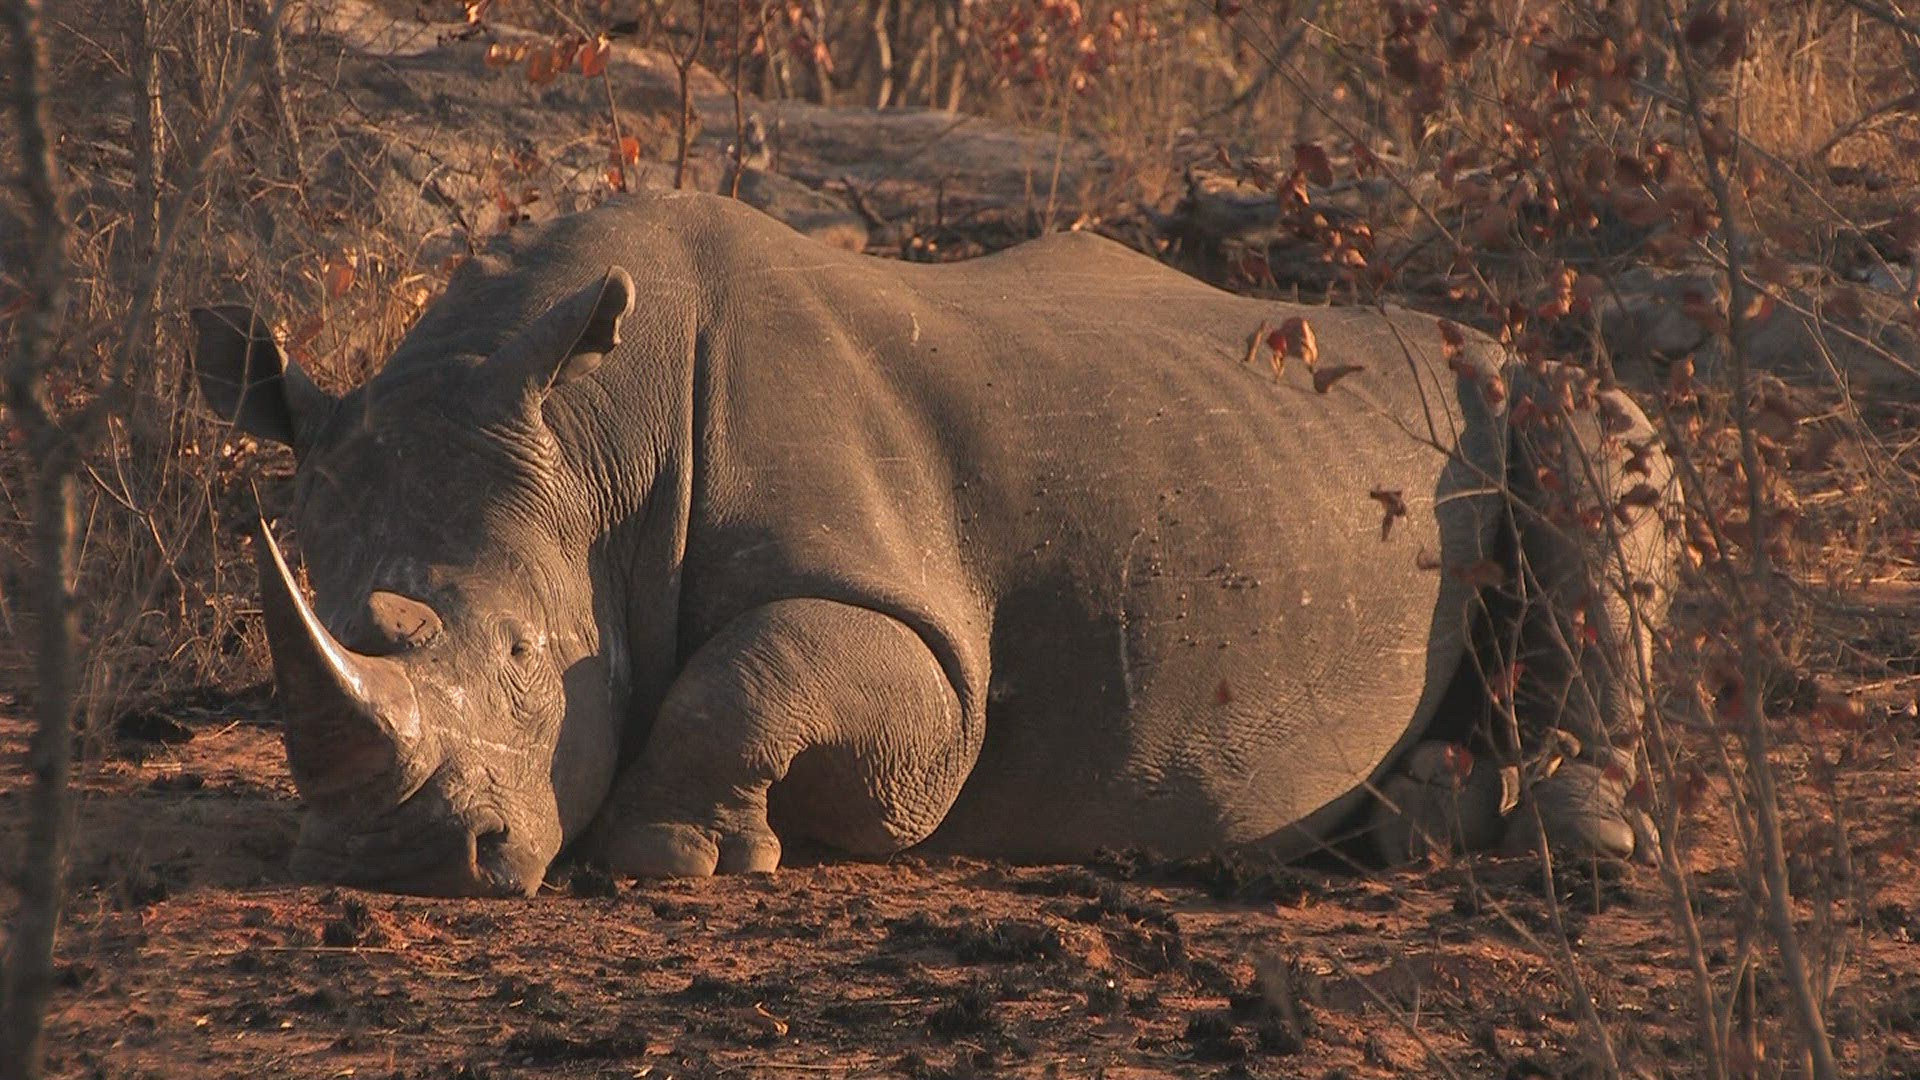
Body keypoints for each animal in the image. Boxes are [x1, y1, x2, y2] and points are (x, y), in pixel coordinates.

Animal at [191, 190, 1672, 897]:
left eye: (518, 655)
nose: (394, 864)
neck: (593, 440)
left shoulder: (918, 630)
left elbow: (757, 677)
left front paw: (668, 856)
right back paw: (1418, 828)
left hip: (1528, 389)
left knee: (1600, 456)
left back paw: (1563, 847)